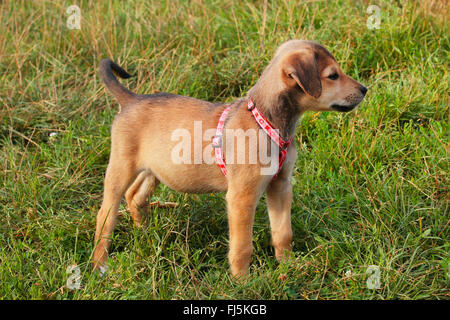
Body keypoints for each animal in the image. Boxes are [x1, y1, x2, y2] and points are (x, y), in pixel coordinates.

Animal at [94, 40, 366, 278]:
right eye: (333, 75)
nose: (365, 89)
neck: (266, 122)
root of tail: (131, 99)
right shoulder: (242, 197)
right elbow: (243, 246)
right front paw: (242, 281)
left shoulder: (281, 186)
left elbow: (283, 233)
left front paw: (288, 266)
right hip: (120, 169)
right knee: (105, 216)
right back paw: (100, 264)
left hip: (155, 169)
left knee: (135, 196)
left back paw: (146, 234)